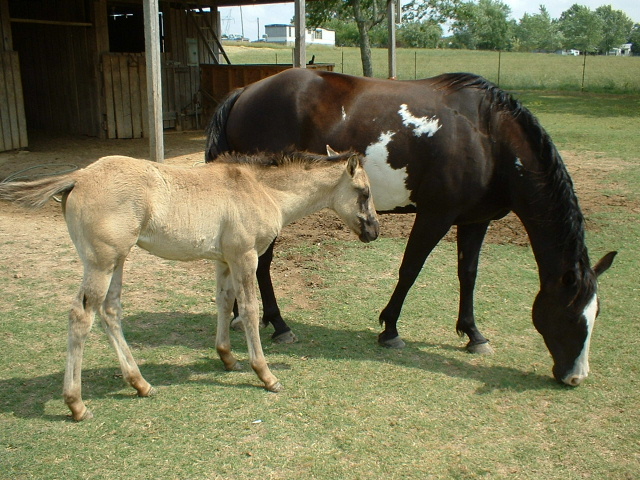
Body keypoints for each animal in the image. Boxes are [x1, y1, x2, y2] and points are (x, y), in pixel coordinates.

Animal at [0, 150, 379, 420]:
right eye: (363, 192)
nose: (374, 231)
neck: (260, 188)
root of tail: (77, 176)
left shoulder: (224, 260)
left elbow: (224, 302)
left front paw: (227, 358)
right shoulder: (245, 257)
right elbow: (249, 310)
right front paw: (265, 374)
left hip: (118, 260)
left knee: (110, 311)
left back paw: (140, 383)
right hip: (101, 262)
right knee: (82, 316)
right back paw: (76, 404)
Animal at [204, 68, 616, 386]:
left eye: (595, 316)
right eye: (572, 316)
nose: (575, 377)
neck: (488, 136)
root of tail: (245, 92)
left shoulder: (475, 220)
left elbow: (468, 274)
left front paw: (473, 334)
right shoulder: (435, 216)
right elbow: (410, 269)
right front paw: (390, 330)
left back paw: (242, 316)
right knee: (263, 264)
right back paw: (278, 324)